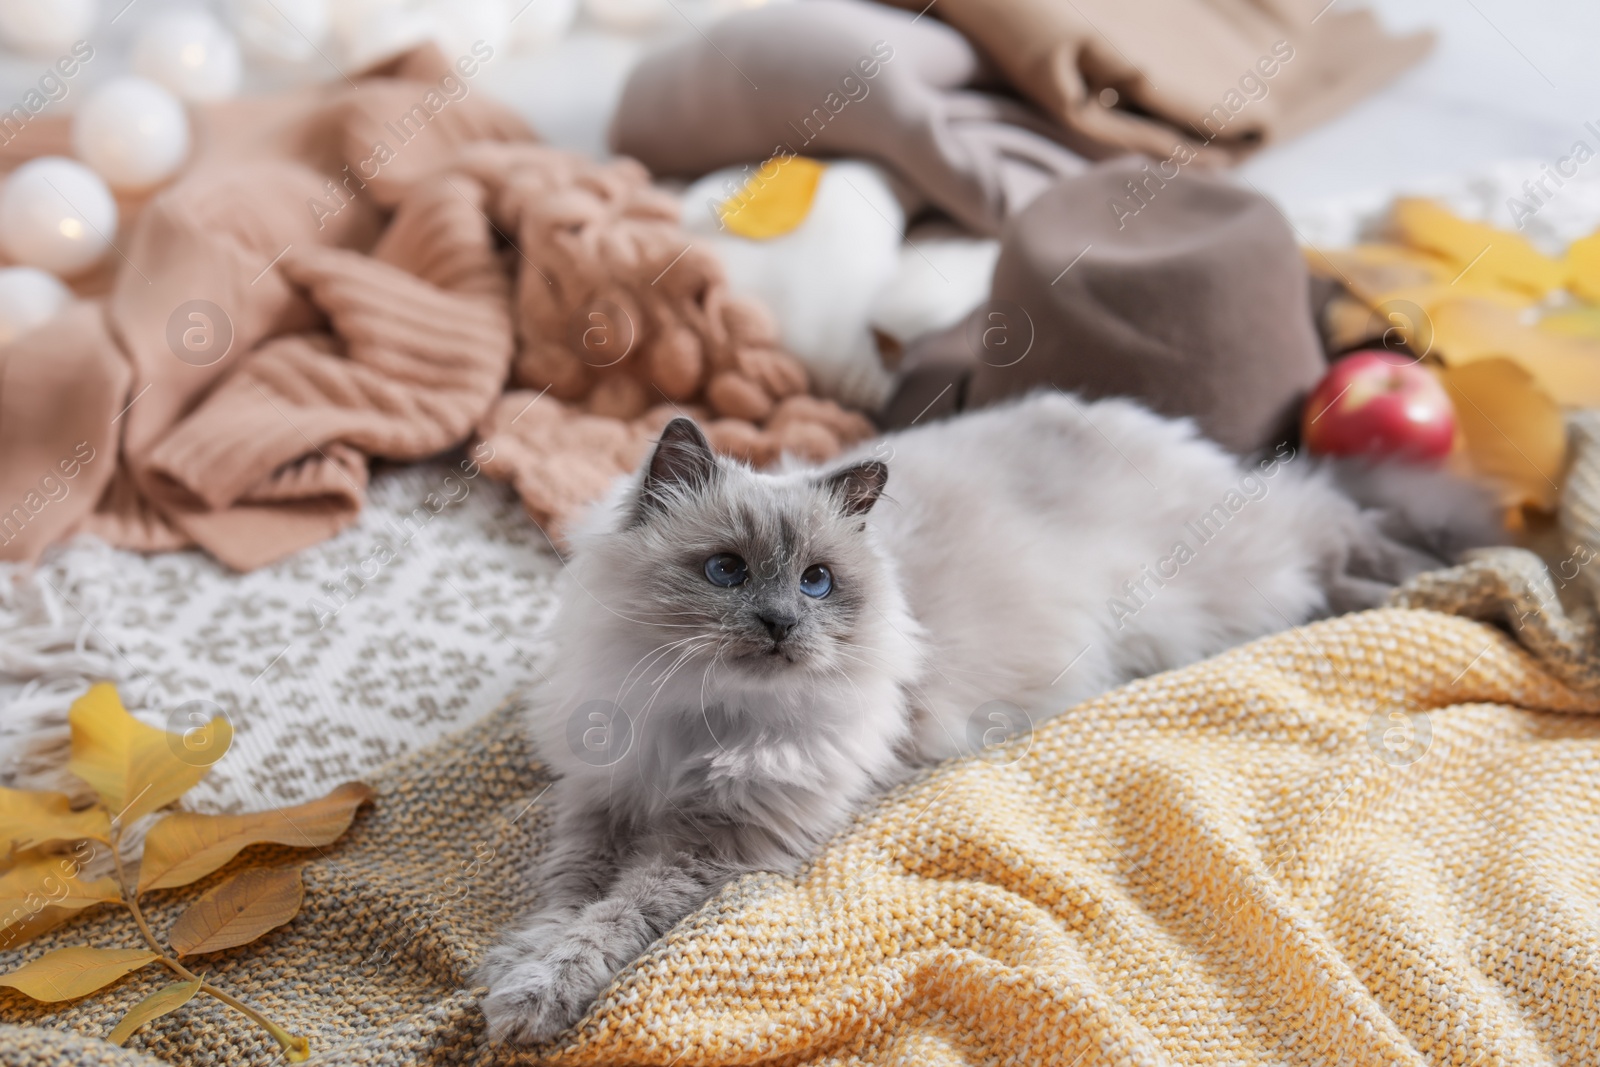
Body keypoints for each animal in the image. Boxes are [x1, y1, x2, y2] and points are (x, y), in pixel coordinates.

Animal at [476, 388, 1497, 1036]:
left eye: (817, 582)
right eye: (726, 571)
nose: (777, 624)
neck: (705, 722)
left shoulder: (715, 846)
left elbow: (612, 920)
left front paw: (534, 991)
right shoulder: (606, 799)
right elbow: (570, 893)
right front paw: (517, 967)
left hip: (1245, 581)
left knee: (1342, 517)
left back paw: (1450, 568)